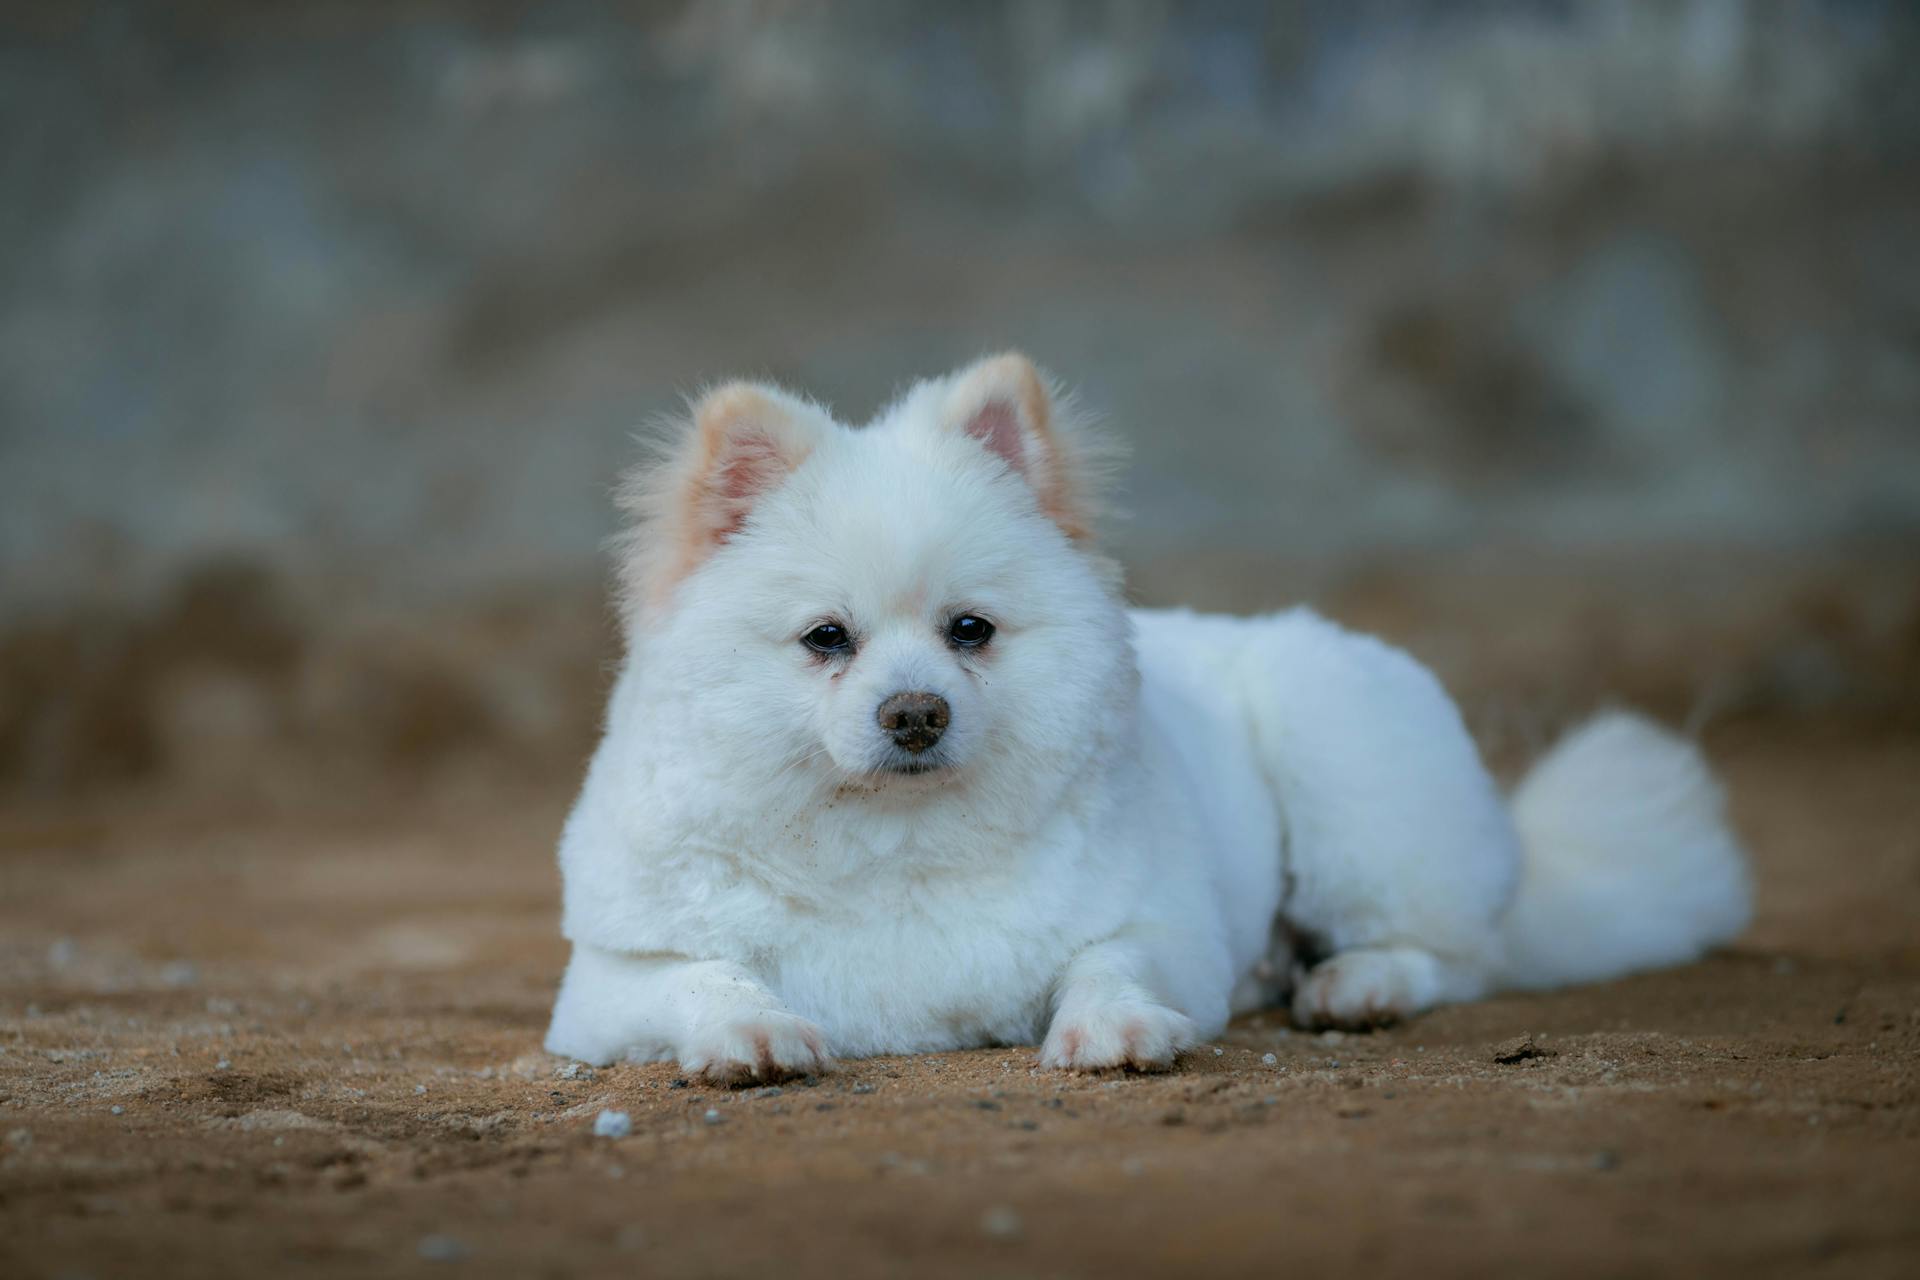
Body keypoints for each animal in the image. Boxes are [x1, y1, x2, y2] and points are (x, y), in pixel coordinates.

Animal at [545, 351, 1758, 1082]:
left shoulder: (1163, 924)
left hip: (1350, 768)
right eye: (826, 640)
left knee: (1461, 953)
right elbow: (700, 975)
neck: (895, 843)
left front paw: (1114, 1029)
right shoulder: (605, 984)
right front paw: (749, 1030)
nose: (916, 712)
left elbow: (1110, 963)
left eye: (970, 630)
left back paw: (1350, 981)